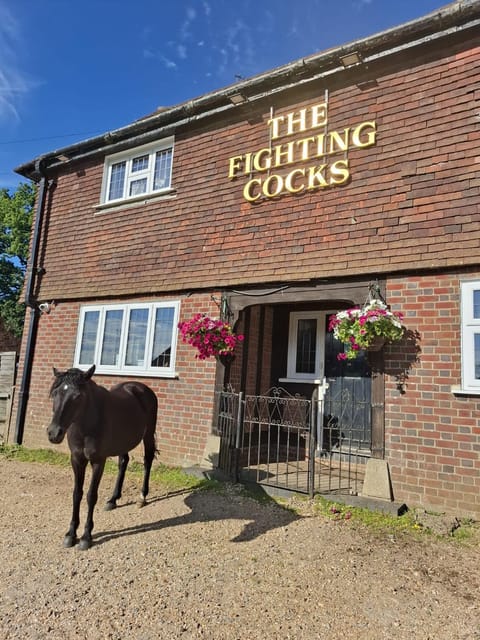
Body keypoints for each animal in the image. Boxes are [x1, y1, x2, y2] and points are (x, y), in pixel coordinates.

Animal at [46, 364, 157, 552]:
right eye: (55, 393)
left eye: (78, 396)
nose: (54, 433)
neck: (86, 424)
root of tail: (142, 387)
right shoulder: (77, 460)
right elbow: (77, 493)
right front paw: (70, 534)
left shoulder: (98, 461)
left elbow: (91, 495)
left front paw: (86, 537)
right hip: (122, 441)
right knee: (123, 462)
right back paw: (113, 500)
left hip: (148, 434)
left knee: (147, 461)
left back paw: (142, 497)